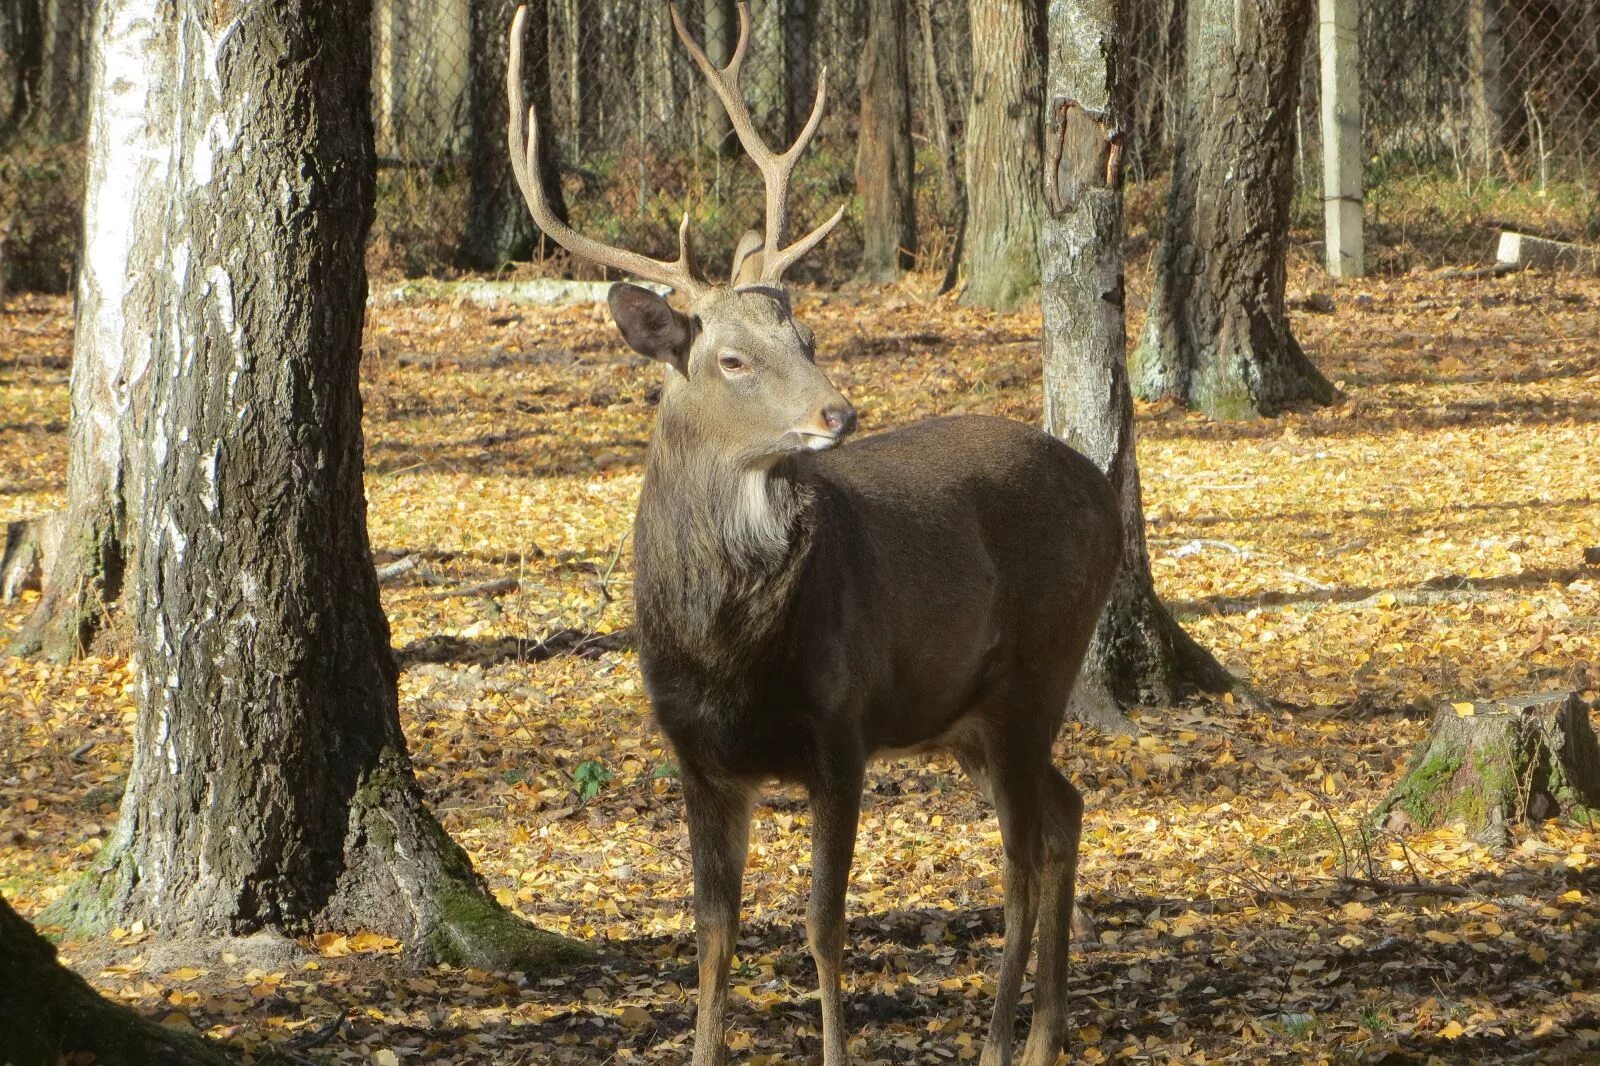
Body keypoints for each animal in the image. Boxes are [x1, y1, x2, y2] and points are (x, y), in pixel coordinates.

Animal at [505, 10, 1120, 1062]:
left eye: (811, 337)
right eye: (732, 359)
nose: (839, 412)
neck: (727, 647)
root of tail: (1107, 494)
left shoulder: (844, 729)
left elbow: (823, 927)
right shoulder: (699, 757)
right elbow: (714, 934)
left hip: (1039, 667)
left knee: (1022, 854)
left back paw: (1006, 1037)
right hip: (969, 712)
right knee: (1067, 811)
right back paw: (1038, 1034)